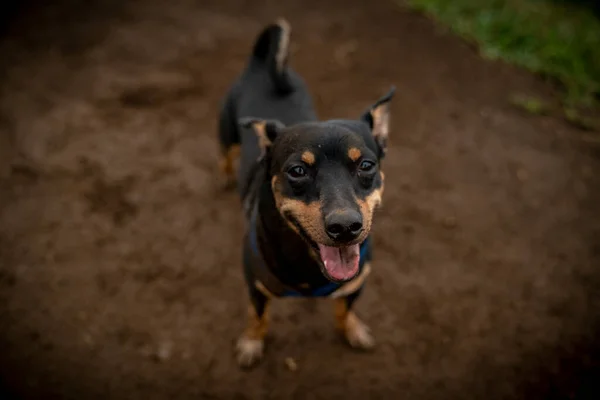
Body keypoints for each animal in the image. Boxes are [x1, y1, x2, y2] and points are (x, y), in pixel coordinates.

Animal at [218, 19, 396, 368]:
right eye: (298, 171)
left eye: (366, 165)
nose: (345, 227)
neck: (308, 266)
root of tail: (263, 65)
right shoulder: (255, 285)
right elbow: (258, 317)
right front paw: (251, 343)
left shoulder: (357, 283)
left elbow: (345, 309)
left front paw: (353, 330)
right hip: (227, 133)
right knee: (226, 156)